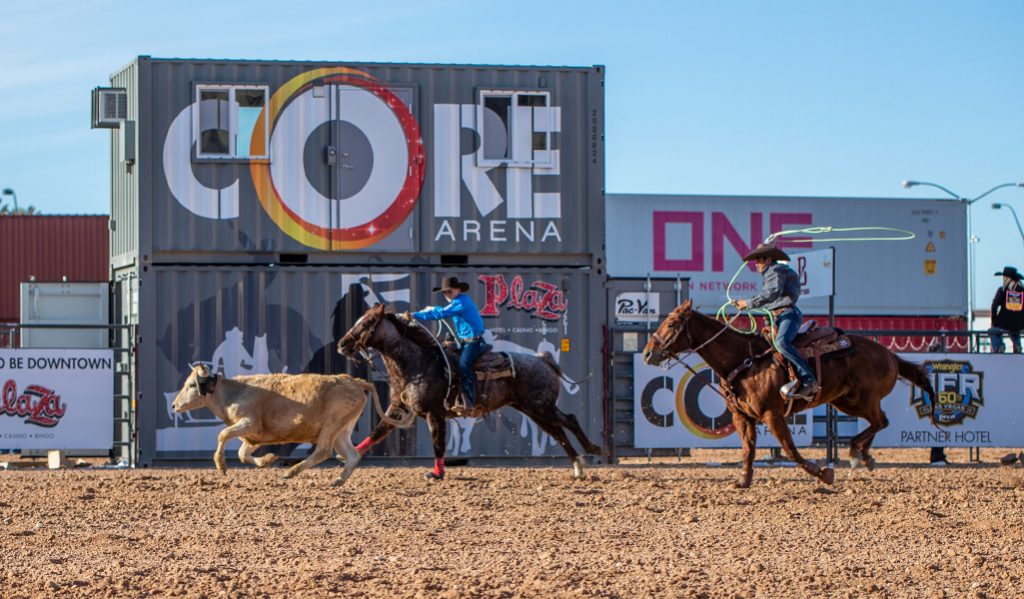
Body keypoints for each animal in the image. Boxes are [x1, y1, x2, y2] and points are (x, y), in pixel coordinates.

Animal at [171, 365, 377, 487]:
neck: (234, 393)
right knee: (352, 455)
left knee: (323, 451)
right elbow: (242, 454)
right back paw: (338, 480)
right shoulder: (253, 435)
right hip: (342, 430)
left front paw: (221, 465)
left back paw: (291, 472)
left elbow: (223, 435)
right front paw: (267, 459)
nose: (173, 405)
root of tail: (353, 380)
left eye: (191, 385)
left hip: (332, 424)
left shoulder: (249, 422)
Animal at [336, 304, 603, 480]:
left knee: (569, 421)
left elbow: (438, 442)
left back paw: (593, 450)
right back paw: (578, 467)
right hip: (533, 409)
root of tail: (542, 359)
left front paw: (437, 473)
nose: (342, 344)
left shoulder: (435, 412)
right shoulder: (399, 409)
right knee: (557, 432)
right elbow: (378, 432)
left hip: (541, 407)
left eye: (367, 323)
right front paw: (350, 455)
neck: (416, 362)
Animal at [642, 300, 936, 488]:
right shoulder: (742, 416)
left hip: (862, 398)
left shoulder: (772, 414)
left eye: (673, 323)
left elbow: (790, 450)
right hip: (845, 401)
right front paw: (743, 481)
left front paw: (823, 474)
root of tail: (888, 353)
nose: (647, 353)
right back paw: (864, 456)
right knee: (878, 421)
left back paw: (855, 451)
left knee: (880, 421)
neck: (743, 359)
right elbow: (748, 449)